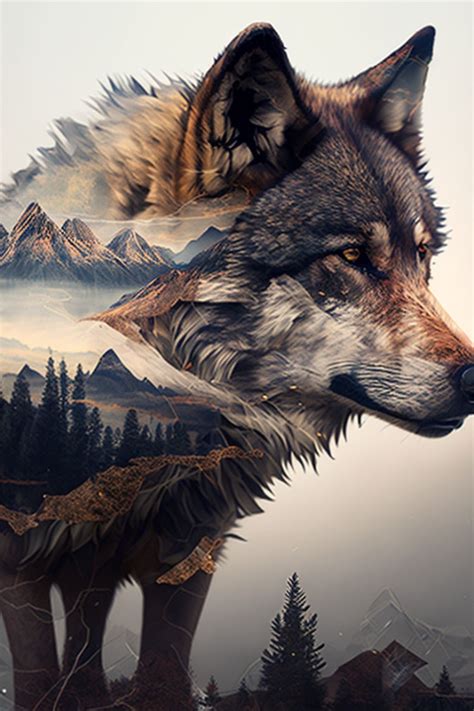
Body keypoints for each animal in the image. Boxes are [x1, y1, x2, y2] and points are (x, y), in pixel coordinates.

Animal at [0, 22, 473, 710]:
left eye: (423, 256)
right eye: (352, 256)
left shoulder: (183, 558)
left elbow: (162, 674)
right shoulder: (21, 560)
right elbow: (37, 678)